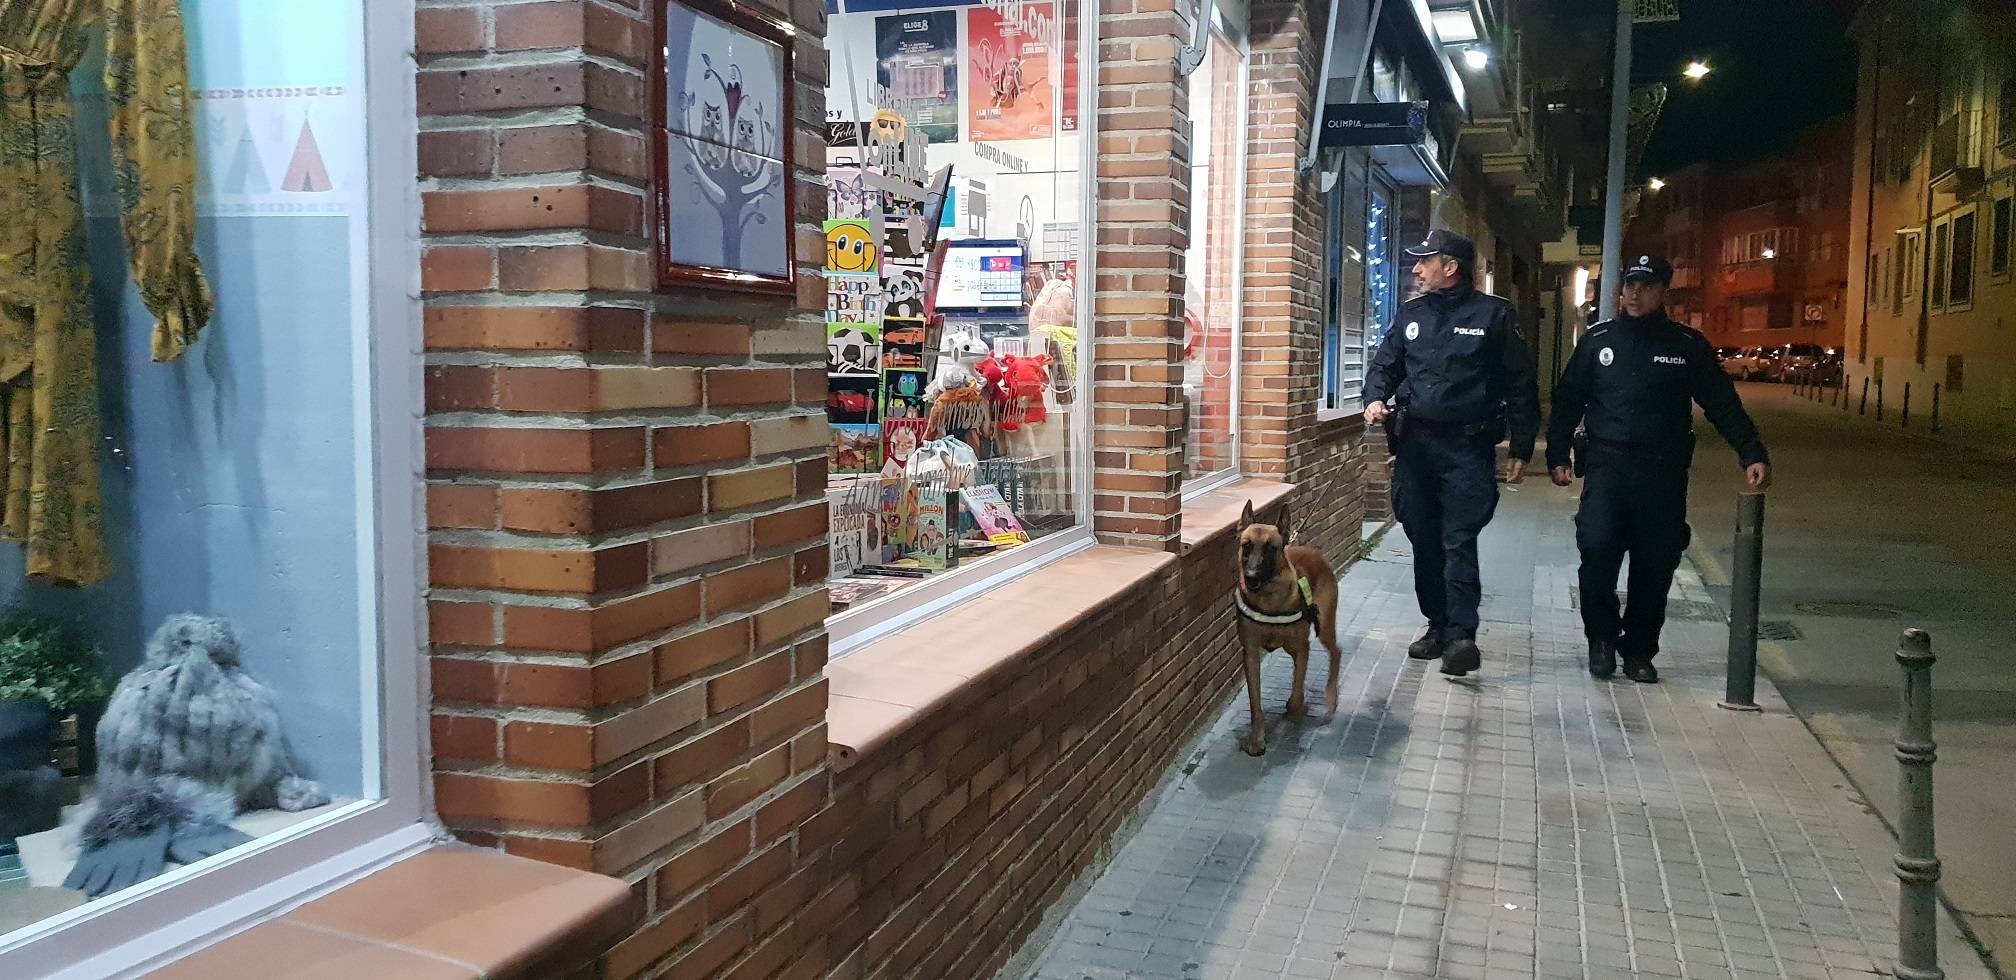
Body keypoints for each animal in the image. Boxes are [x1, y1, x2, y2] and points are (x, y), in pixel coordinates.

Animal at [1225, 502, 1338, 754]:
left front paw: (1298, 708)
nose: (1251, 578)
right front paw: (1257, 740)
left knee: (1336, 653)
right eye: (1246, 546)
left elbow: (1296, 696)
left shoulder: (1302, 648)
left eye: (1271, 548)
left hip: (1325, 627)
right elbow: (1255, 703)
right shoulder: (1251, 655)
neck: (1269, 601)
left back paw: (1331, 698)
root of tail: (1314, 553)